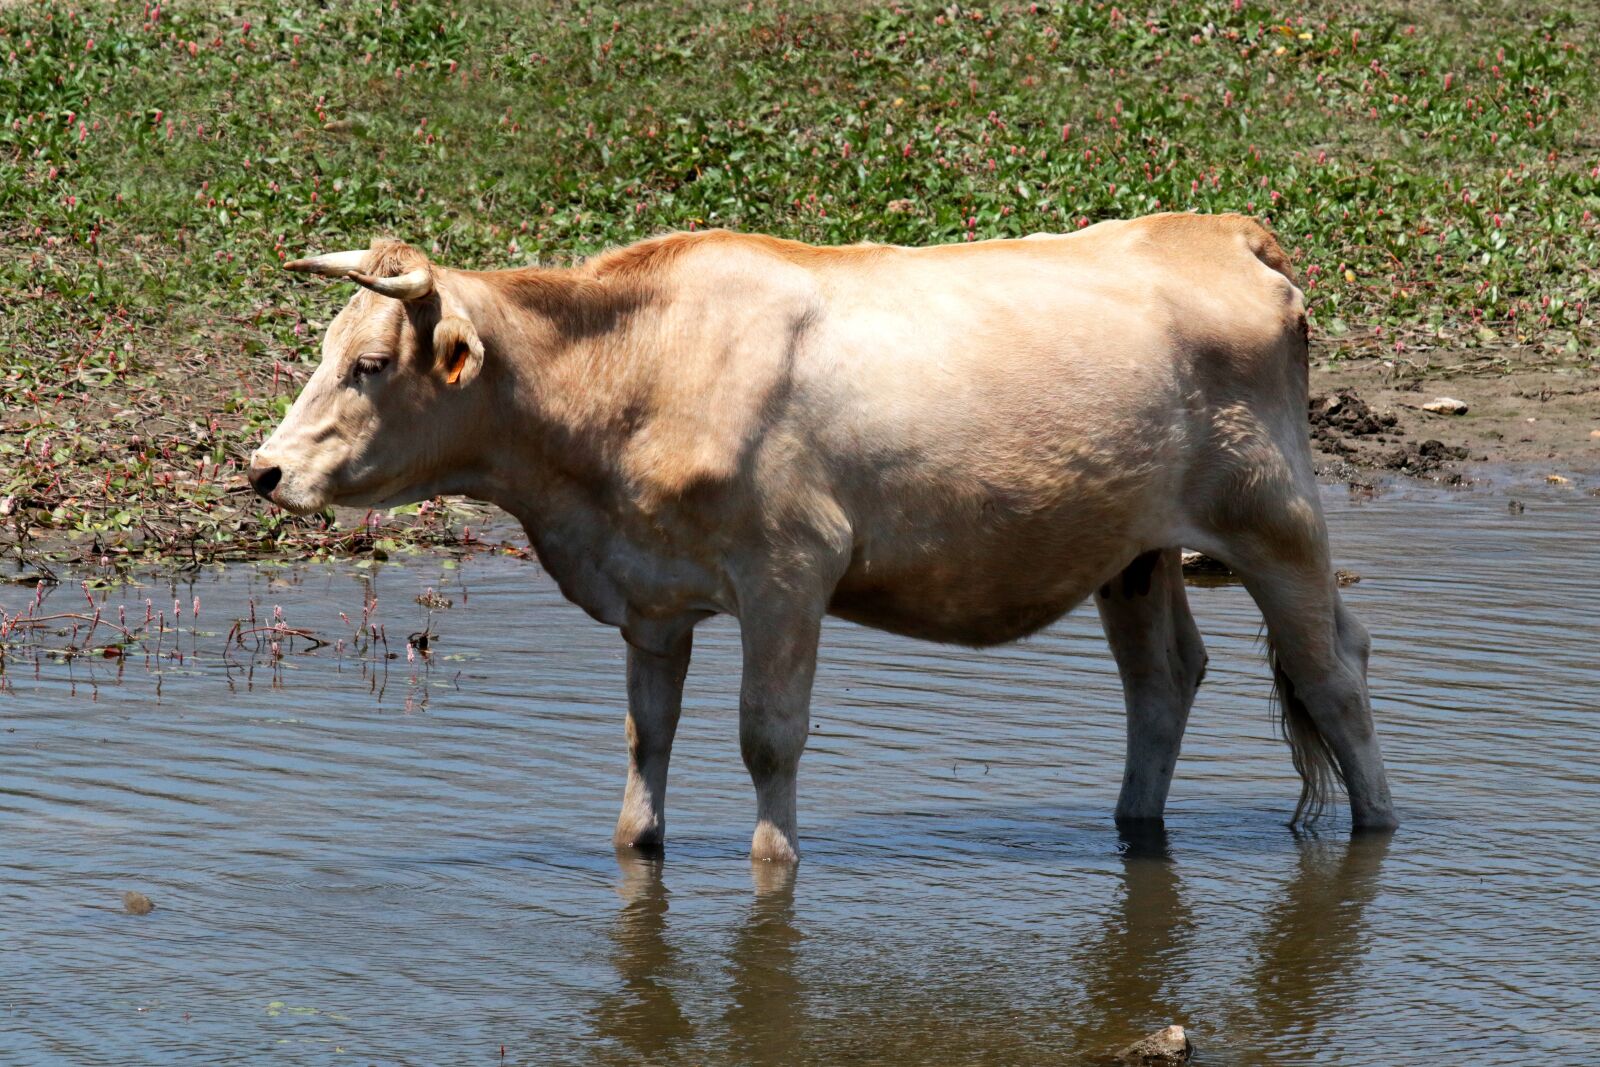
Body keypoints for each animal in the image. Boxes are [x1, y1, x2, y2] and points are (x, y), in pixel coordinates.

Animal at [252, 213, 1397, 864]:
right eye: (325, 349)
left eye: (368, 366)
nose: (264, 469)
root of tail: (1218, 226)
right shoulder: (651, 593)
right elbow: (646, 737)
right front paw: (638, 844)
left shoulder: (788, 570)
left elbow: (769, 735)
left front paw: (775, 866)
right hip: (1134, 547)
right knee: (1164, 676)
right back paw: (1133, 826)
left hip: (1274, 517)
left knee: (1332, 666)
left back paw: (1378, 828)